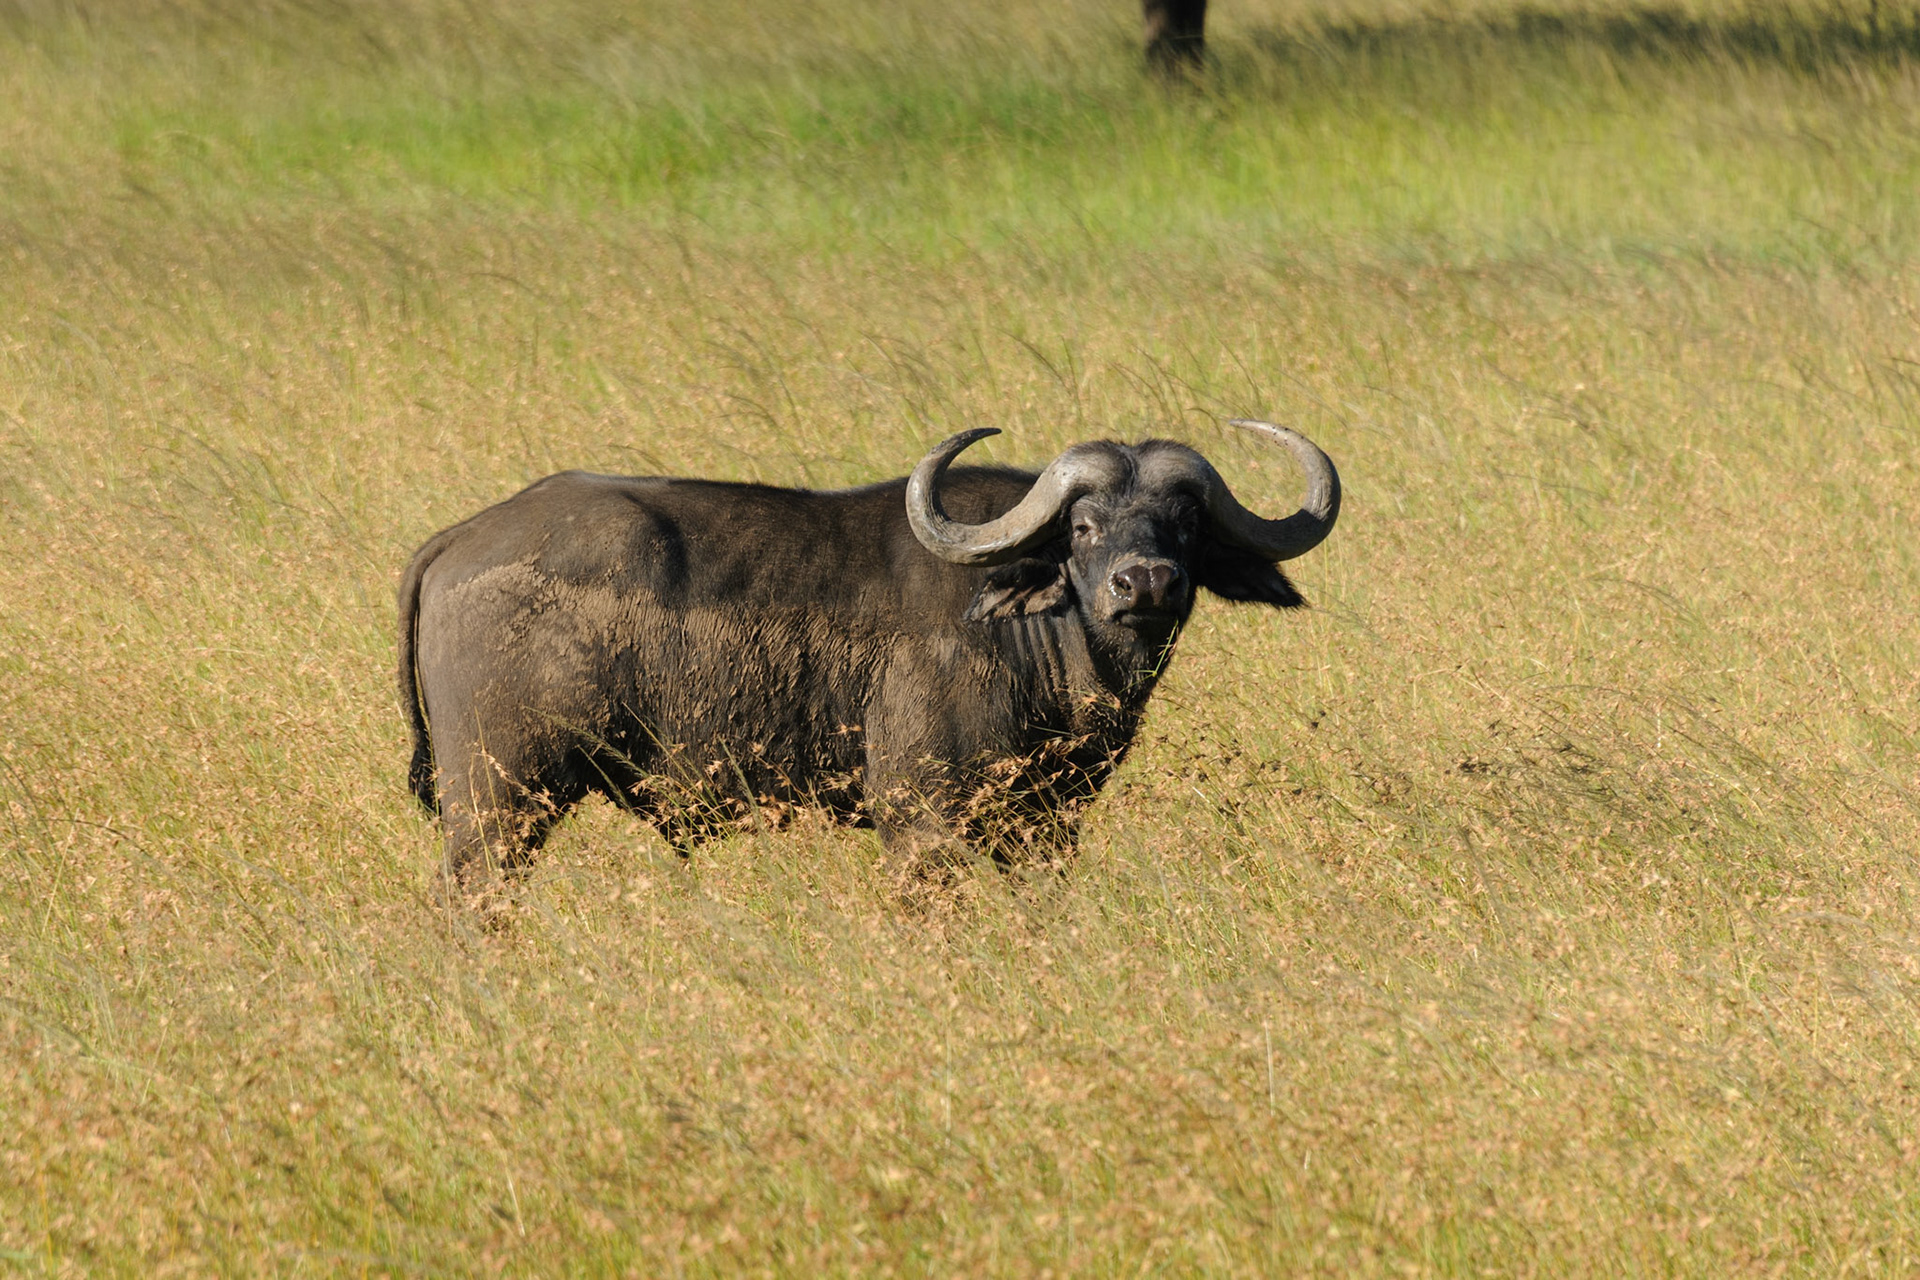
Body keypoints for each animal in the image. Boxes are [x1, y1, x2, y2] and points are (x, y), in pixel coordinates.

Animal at [398, 421, 1339, 891]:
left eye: (1186, 523)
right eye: (1082, 526)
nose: (1144, 583)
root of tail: (459, 540)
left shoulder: (1047, 831)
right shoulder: (921, 824)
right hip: (496, 805)